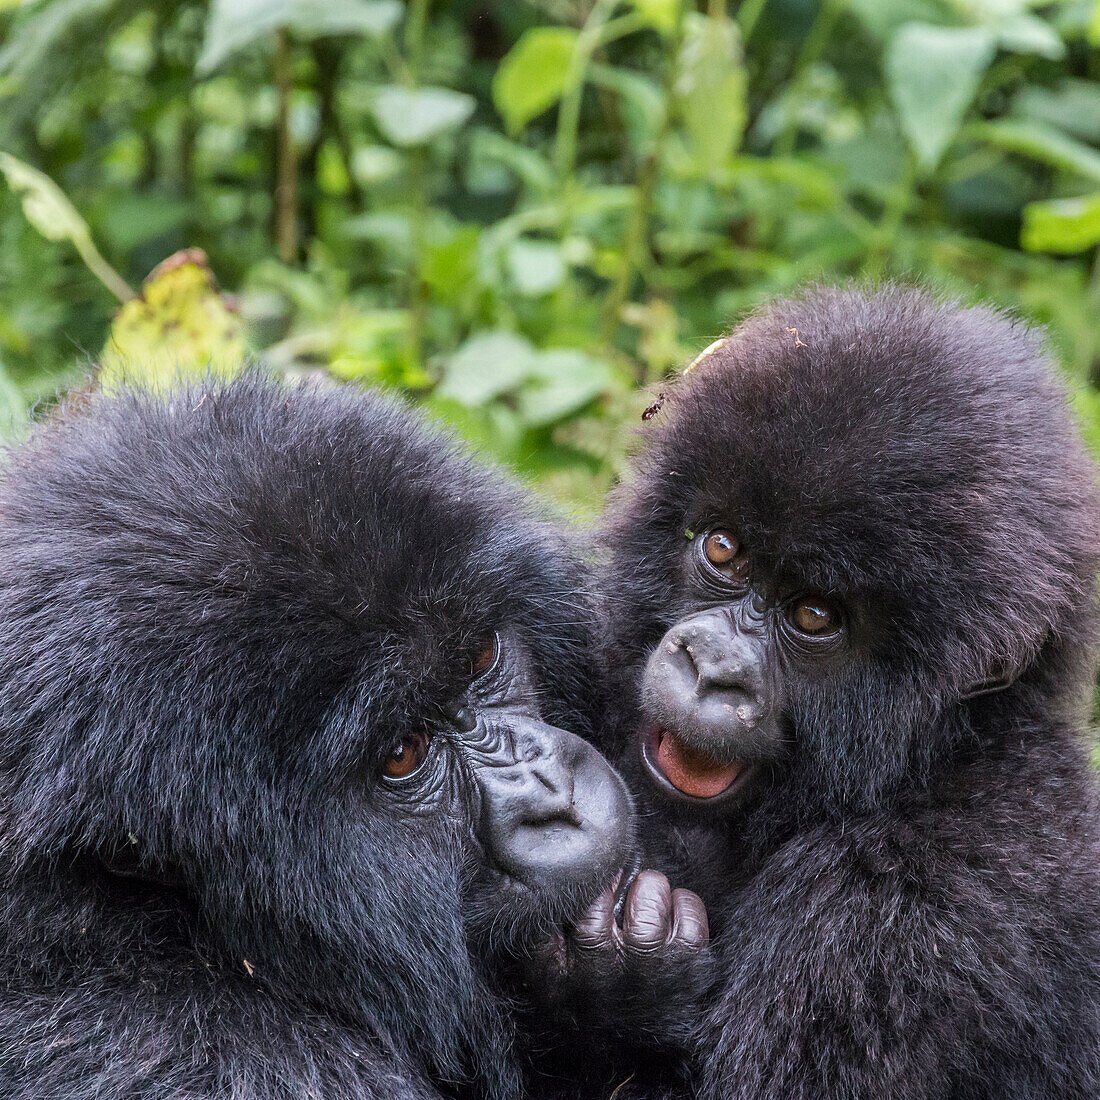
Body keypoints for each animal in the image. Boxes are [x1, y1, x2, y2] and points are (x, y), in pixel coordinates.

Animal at [594, 290, 1100, 1100]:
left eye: (813, 616)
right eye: (723, 550)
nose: (711, 668)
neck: (938, 754)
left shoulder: (893, 913)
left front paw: (626, 976)